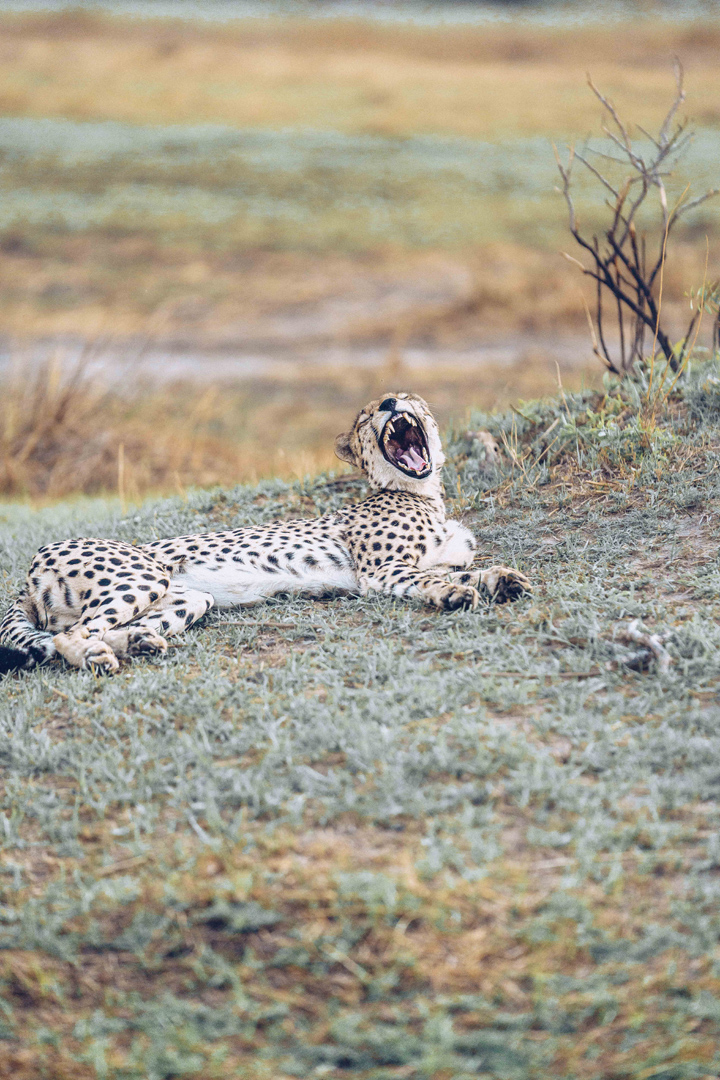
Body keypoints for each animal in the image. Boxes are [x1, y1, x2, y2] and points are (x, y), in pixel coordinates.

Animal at [0, 393, 528, 669]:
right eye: (366, 415)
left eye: (407, 396)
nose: (390, 402)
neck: (422, 491)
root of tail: (33, 563)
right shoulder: (381, 572)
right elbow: (431, 579)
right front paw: (456, 595)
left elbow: (459, 570)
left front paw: (500, 580)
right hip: (143, 576)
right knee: (72, 636)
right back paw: (97, 657)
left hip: (188, 597)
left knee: (107, 628)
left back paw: (137, 643)